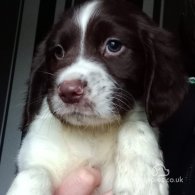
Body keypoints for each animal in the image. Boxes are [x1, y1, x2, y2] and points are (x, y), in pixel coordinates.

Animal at [6, 0, 187, 194]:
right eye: (58, 52)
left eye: (113, 45)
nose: (69, 92)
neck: (92, 132)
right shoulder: (35, 153)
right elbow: (33, 173)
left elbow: (136, 125)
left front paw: (141, 180)